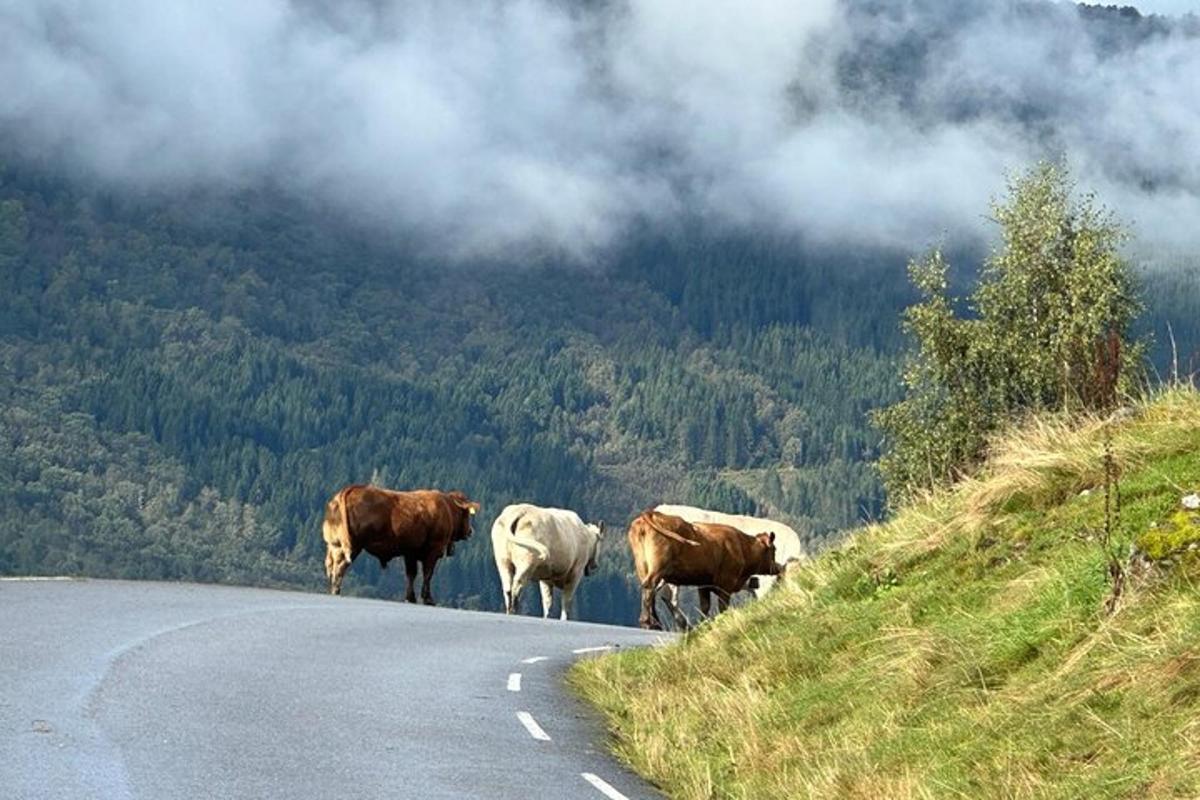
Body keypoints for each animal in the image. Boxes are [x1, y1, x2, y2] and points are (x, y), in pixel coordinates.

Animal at [328, 484, 482, 604]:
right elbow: (427, 574)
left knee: (333, 566)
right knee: (340, 567)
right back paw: (336, 591)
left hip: (336, 546)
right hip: (353, 546)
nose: (470, 531)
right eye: (467, 514)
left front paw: (410, 597)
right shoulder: (433, 551)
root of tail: (351, 489)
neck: (447, 508)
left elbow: (411, 575)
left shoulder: (410, 553)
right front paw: (428, 599)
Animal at [624, 510, 782, 628]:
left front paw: (703, 624)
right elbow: (722, 606)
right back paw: (648, 622)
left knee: (648, 588)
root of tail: (652, 513)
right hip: (658, 566)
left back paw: (652, 622)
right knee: (651, 586)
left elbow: (705, 606)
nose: (778, 568)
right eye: (774, 549)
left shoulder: (704, 584)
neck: (743, 547)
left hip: (642, 564)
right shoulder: (726, 584)